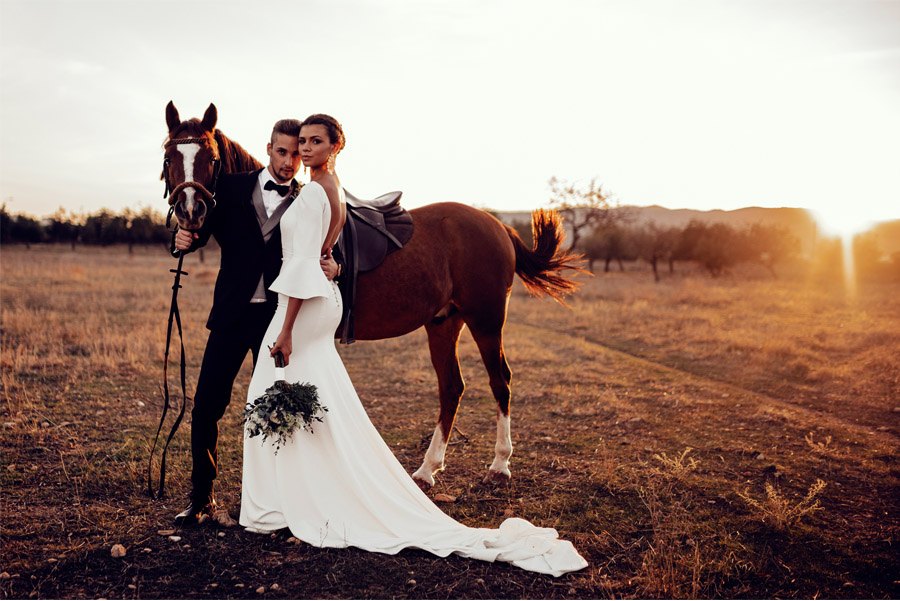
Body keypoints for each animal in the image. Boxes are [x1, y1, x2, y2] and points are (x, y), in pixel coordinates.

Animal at [162, 102, 584, 488]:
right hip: (444, 323)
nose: (190, 211)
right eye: (169, 155)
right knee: (452, 388)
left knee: (500, 381)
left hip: (486, 320)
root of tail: (497, 225)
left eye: (211, 158)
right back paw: (428, 469)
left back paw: (499, 464)